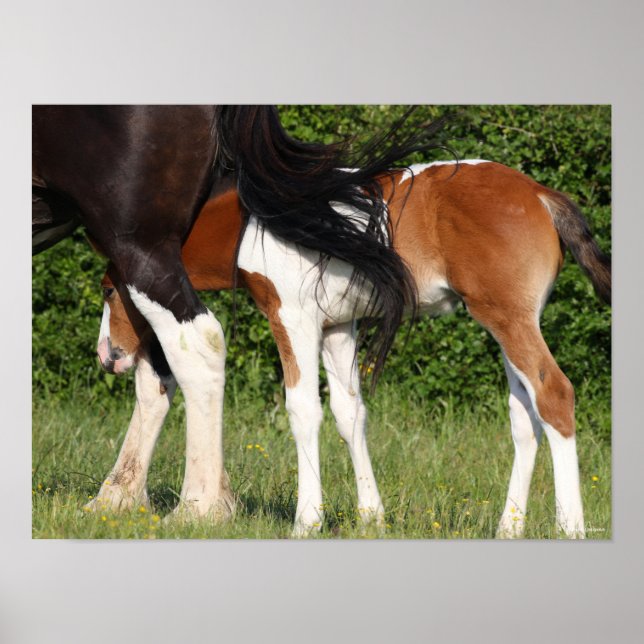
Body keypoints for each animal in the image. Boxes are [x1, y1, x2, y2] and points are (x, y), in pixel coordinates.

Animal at [33, 105, 445, 521]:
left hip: (139, 244)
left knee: (197, 348)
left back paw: (197, 505)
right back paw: (119, 497)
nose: (106, 356)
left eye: (106, 291)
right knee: (162, 373)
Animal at [94, 159, 611, 537]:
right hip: (508, 321)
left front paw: (307, 521)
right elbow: (350, 414)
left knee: (554, 395)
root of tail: (540, 195)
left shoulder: (293, 318)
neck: (254, 223)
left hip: (507, 319)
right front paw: (371, 517)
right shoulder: (339, 327)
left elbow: (304, 410)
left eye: (108, 290)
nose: (107, 355)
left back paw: (570, 527)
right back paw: (509, 527)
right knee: (525, 416)